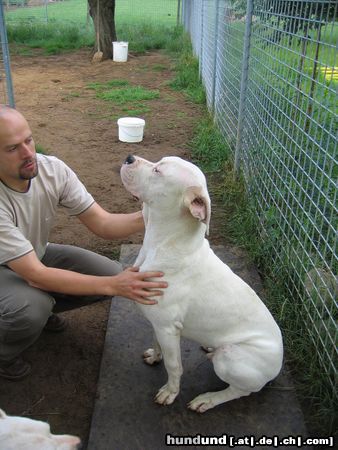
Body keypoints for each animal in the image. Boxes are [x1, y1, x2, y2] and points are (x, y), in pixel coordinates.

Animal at [120, 156, 284, 414]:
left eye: (158, 170)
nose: (129, 157)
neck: (163, 242)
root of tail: (278, 366)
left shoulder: (167, 328)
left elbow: (174, 366)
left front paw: (170, 392)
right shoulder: (160, 326)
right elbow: (157, 345)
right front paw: (154, 357)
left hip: (230, 358)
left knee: (240, 391)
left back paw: (207, 399)